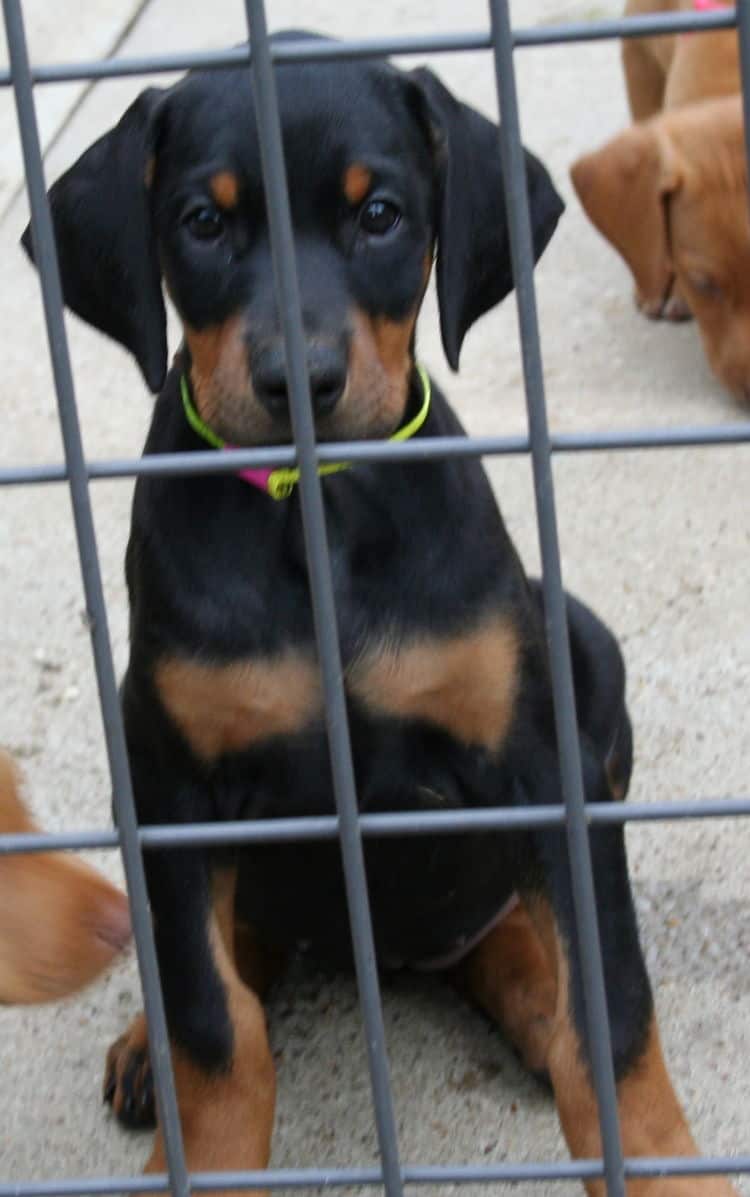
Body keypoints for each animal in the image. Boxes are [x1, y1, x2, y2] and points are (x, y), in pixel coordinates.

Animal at [24, 35, 732, 1197]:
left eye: (381, 214)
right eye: (203, 221)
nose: (299, 383)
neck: (315, 512)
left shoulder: (543, 765)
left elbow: (612, 1013)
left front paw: (668, 1167)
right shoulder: (179, 785)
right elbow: (217, 1027)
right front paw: (207, 1147)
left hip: (584, 645)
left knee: (520, 943)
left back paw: (530, 997)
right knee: (226, 952)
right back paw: (145, 1048)